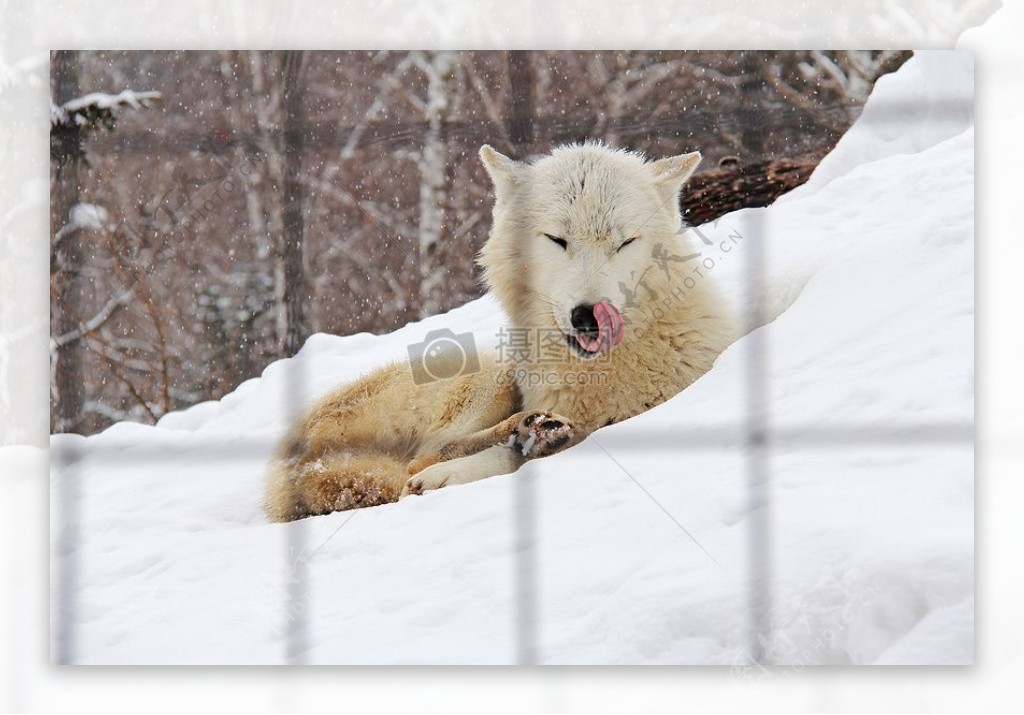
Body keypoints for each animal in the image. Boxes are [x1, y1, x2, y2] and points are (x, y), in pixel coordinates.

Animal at [266, 140, 737, 518]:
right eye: (556, 240)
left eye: (624, 243)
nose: (588, 315)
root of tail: (289, 461)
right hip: (490, 373)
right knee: (419, 461)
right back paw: (519, 432)